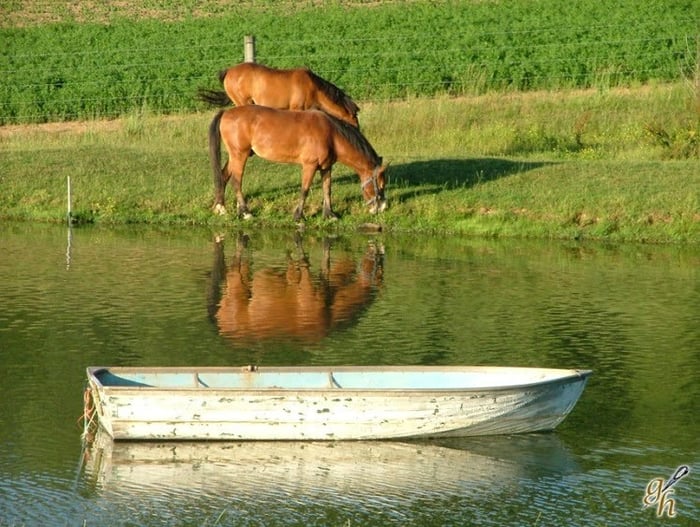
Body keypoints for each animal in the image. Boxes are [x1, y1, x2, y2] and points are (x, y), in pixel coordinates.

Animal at [197, 62, 360, 129]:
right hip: (242, 102)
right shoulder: (296, 108)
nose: (358, 129)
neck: (313, 87)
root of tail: (228, 72)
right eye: (354, 116)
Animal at [208, 106, 388, 222]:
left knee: (224, 176)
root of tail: (226, 112)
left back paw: (221, 208)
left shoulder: (326, 167)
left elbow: (327, 189)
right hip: (240, 155)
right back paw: (246, 212)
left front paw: (330, 215)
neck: (331, 134)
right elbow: (305, 190)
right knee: (236, 181)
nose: (382, 208)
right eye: (381, 185)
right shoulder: (309, 166)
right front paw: (299, 216)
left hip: (235, 156)